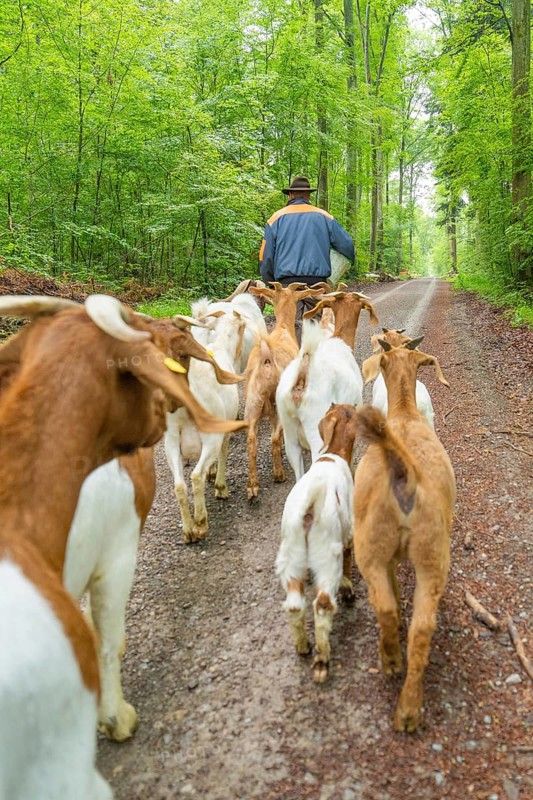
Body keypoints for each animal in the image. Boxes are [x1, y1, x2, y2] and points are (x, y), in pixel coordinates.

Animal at [243, 282, 323, 500]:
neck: (283, 329)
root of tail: (266, 361)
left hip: (251, 403)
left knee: (252, 439)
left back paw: (252, 487)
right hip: (277, 407)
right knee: (275, 437)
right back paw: (278, 474)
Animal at [276, 404, 358, 683]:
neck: (332, 455)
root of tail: (312, 501)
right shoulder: (348, 532)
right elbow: (349, 558)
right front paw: (348, 590)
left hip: (291, 554)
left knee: (294, 605)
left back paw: (303, 647)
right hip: (327, 554)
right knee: (322, 604)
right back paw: (322, 662)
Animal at [353, 338, 455, 732]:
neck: (405, 414)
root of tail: (405, 475)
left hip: (373, 548)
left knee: (386, 608)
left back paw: (392, 663)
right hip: (431, 555)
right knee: (422, 628)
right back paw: (410, 708)